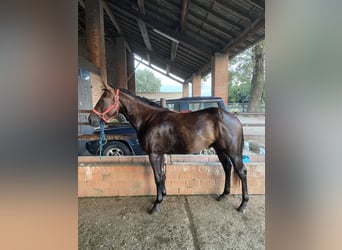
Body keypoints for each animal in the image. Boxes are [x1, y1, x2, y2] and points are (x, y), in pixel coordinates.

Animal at [88, 87, 248, 213]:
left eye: (102, 100)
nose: (91, 119)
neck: (148, 119)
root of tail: (234, 118)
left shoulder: (153, 154)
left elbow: (157, 177)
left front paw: (156, 205)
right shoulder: (160, 154)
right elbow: (162, 175)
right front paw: (163, 195)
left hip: (232, 151)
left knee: (241, 171)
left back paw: (243, 205)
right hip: (220, 149)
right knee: (227, 167)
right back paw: (223, 195)